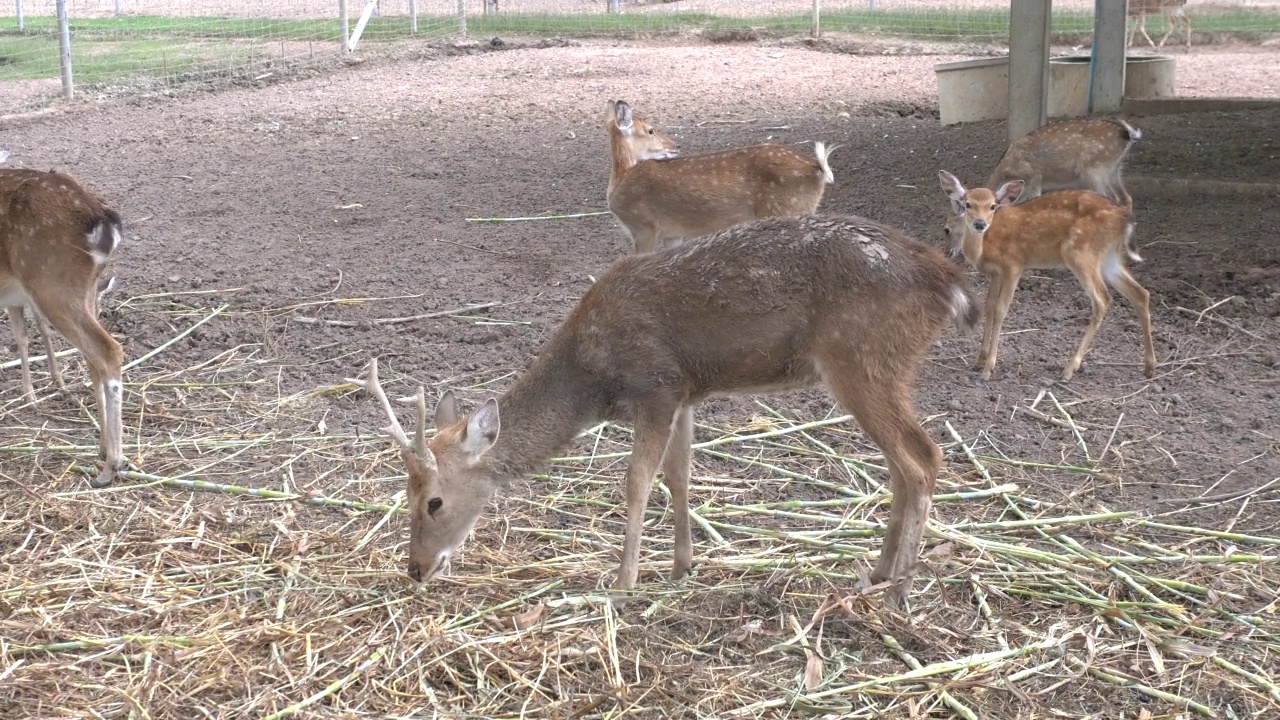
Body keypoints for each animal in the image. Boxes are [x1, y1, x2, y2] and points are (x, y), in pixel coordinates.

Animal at [2, 165, 128, 484]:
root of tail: (102, 221)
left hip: (51, 283)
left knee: (107, 350)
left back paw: (111, 467)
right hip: (86, 290)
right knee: (93, 361)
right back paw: (102, 451)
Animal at [350, 212, 977, 604]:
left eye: (432, 501)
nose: (415, 568)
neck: (594, 378)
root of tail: (951, 285)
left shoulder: (655, 384)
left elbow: (636, 481)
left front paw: (623, 582)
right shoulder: (685, 391)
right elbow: (680, 474)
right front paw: (681, 567)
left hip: (863, 359)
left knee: (923, 458)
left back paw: (900, 591)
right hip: (881, 368)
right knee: (901, 466)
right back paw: (877, 573)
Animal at [601, 98, 834, 254]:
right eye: (650, 130)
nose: (675, 146)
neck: (621, 178)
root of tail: (817, 167)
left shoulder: (644, 226)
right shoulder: (670, 232)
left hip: (787, 209)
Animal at [936, 169, 1157, 381]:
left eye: (992, 206)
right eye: (968, 204)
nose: (980, 223)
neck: (985, 247)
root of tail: (1125, 218)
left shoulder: (1014, 264)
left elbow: (1000, 310)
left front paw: (988, 369)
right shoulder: (995, 273)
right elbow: (989, 307)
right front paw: (979, 360)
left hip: (1079, 252)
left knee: (1103, 299)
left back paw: (1069, 369)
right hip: (1109, 257)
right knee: (1140, 293)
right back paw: (1149, 367)